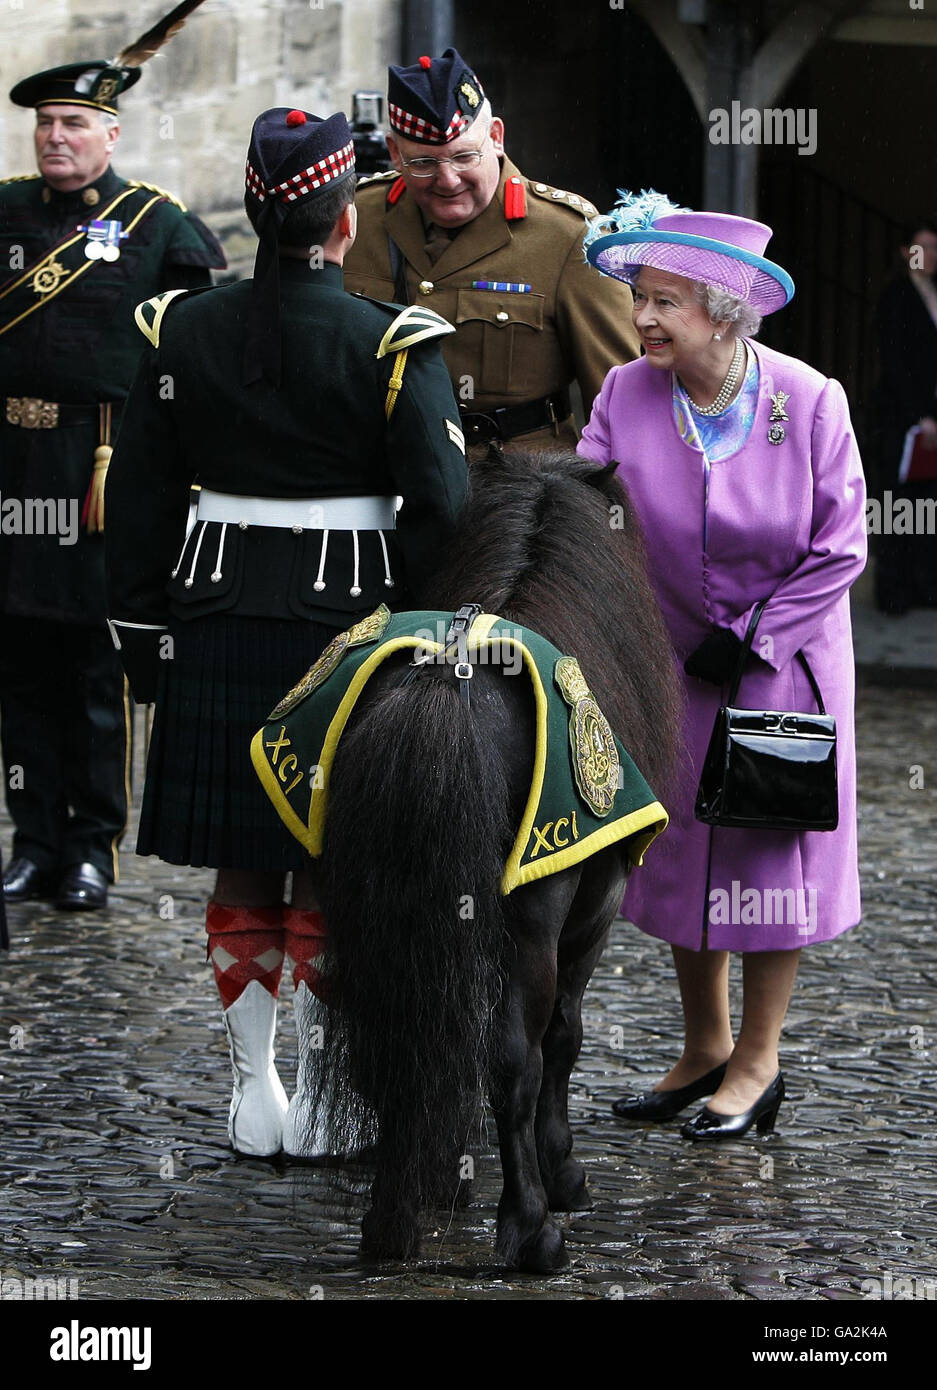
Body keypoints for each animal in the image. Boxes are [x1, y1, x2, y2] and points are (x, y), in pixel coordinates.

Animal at [310, 447, 675, 1273]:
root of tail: (442, 689)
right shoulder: (592, 913)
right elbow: (561, 1040)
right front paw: (563, 1174)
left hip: (367, 910)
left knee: (391, 1041)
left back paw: (392, 1220)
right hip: (533, 924)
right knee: (514, 1058)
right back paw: (531, 1228)